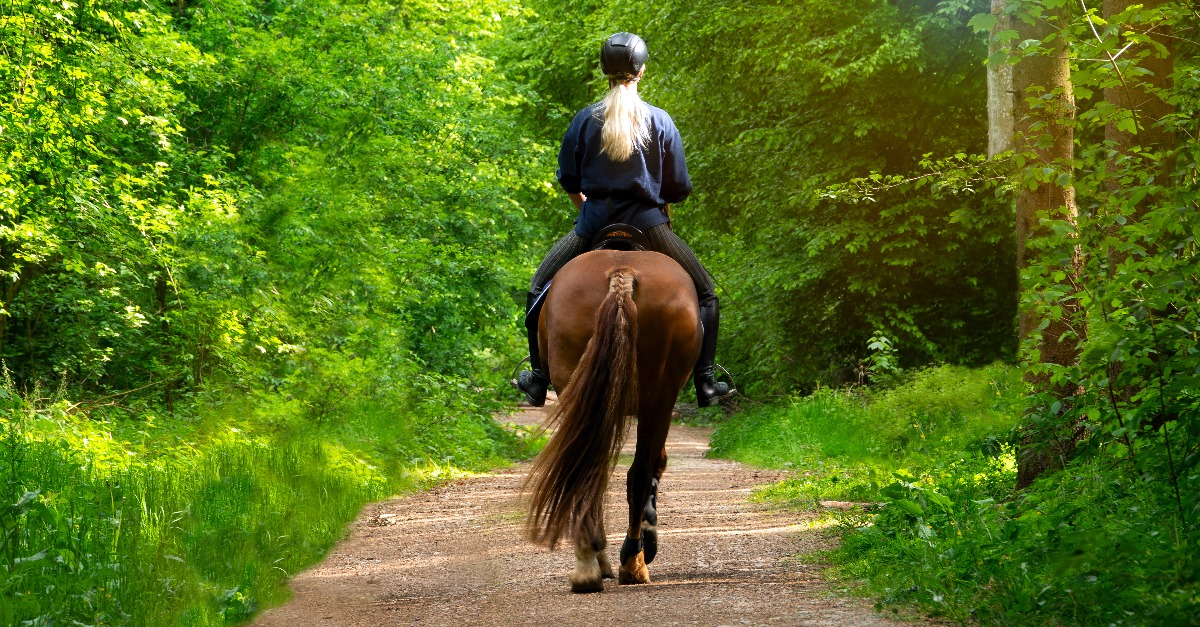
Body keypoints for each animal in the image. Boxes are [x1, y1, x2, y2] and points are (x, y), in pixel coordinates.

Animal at [520, 247, 700, 590]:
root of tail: (622, 273)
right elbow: (654, 465)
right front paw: (647, 537)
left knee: (591, 468)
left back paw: (590, 563)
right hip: (656, 400)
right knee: (635, 473)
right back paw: (631, 561)